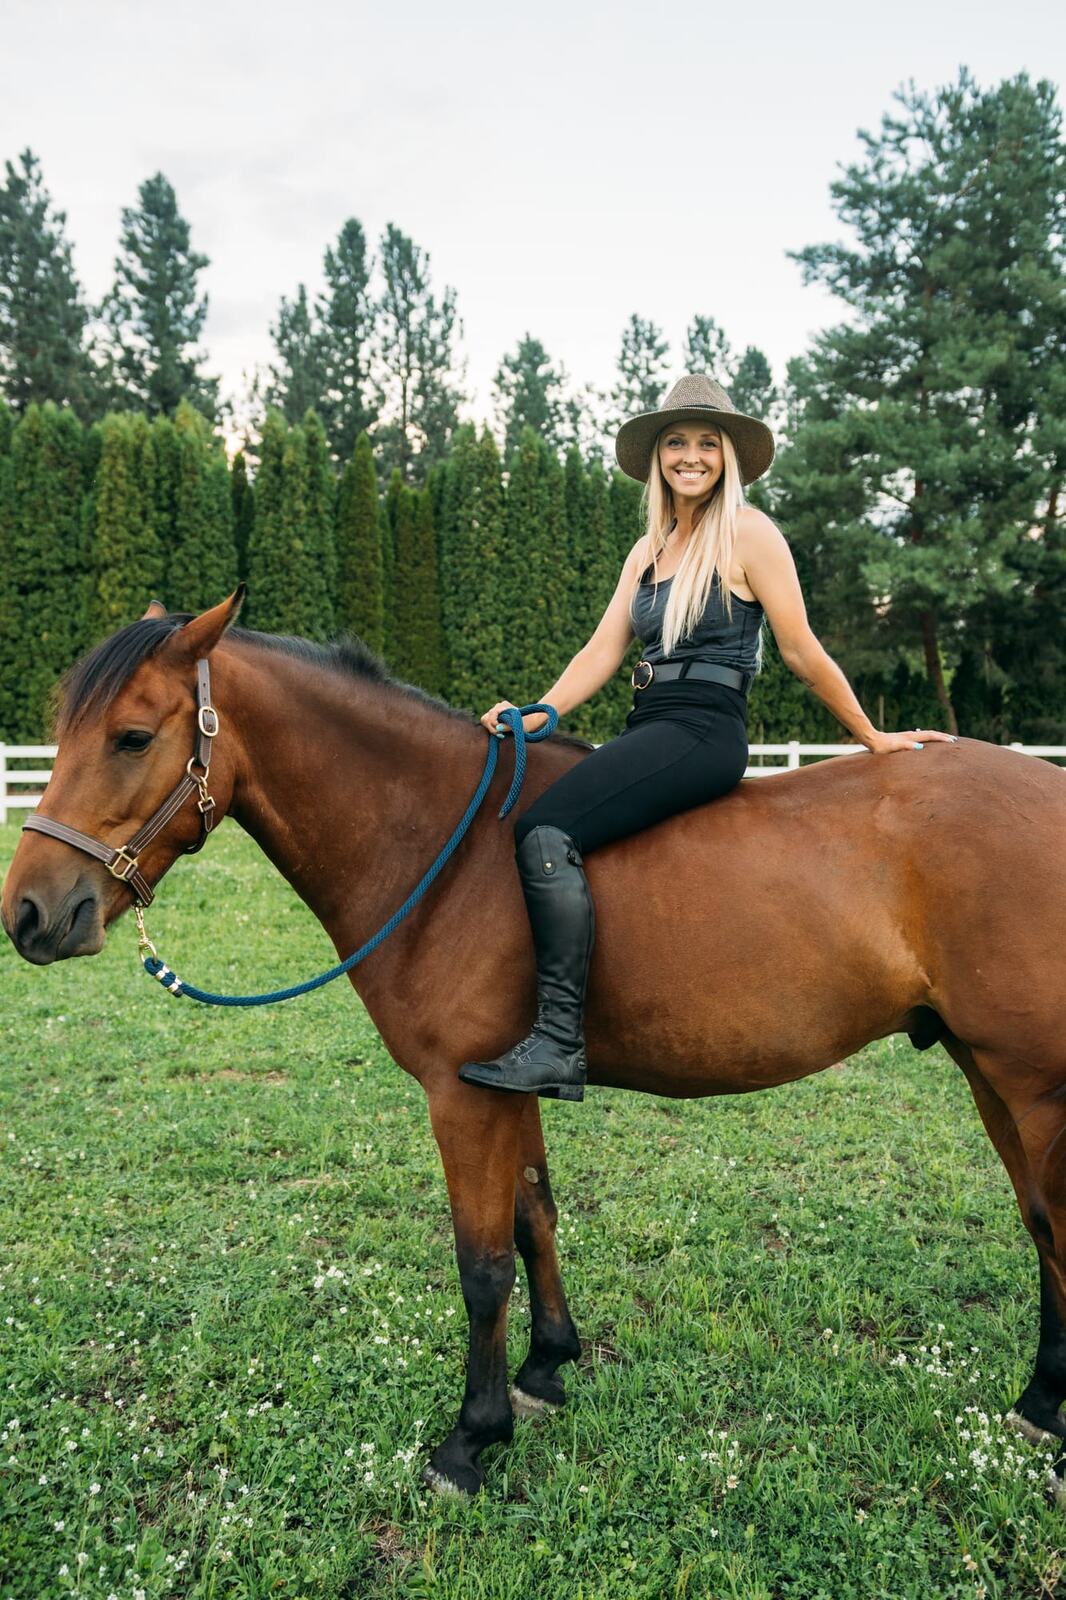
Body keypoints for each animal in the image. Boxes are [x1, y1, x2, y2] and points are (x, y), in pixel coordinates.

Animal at [5, 590, 1066, 1499]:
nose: (31, 914)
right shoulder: (506, 1084)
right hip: (988, 1071)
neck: (449, 847)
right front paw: (548, 1367)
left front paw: (470, 1440)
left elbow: (482, 1265)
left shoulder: (460, 1093)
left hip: (1030, 1082)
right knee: (1040, 1225)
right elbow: (535, 1219)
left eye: (133, 736)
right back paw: (1041, 1402)